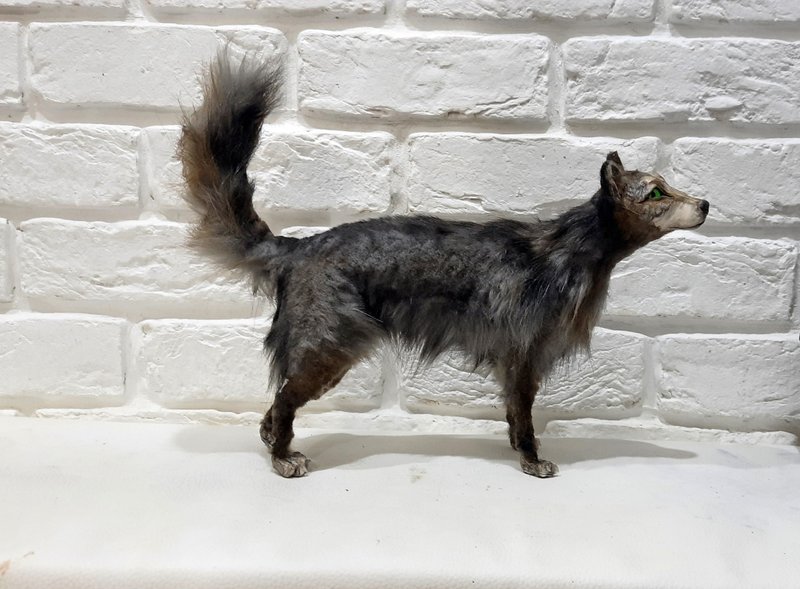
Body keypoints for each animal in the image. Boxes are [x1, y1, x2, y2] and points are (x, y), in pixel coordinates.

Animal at [179, 52, 709, 478]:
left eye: (669, 188)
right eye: (657, 193)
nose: (705, 203)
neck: (569, 249)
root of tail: (298, 246)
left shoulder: (515, 364)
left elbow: (514, 418)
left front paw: (520, 451)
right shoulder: (522, 358)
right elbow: (524, 418)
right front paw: (532, 461)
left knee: (270, 413)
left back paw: (274, 445)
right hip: (330, 347)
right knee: (283, 402)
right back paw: (283, 458)